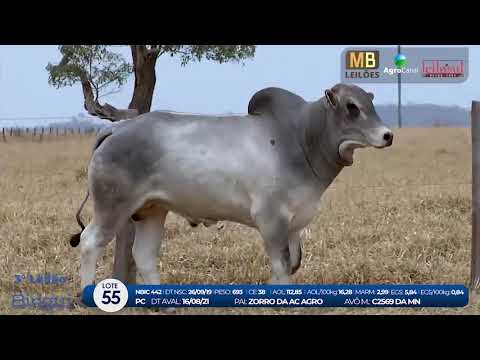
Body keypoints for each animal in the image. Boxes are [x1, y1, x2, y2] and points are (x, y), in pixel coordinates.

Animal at [72, 83, 394, 292]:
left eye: (370, 103)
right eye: (352, 107)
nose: (387, 135)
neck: (301, 139)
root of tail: (117, 128)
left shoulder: (293, 224)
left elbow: (293, 262)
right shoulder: (271, 219)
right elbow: (281, 263)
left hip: (152, 211)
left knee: (144, 255)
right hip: (112, 208)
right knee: (90, 242)